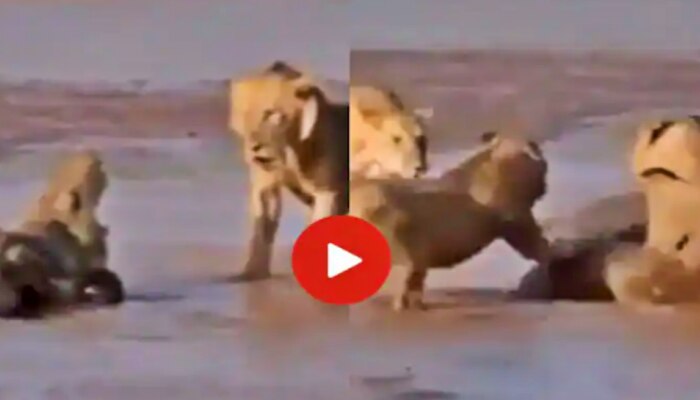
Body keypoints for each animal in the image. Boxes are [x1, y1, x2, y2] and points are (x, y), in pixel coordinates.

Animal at [228, 61, 350, 281]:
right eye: (243, 114)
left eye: (271, 113)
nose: (253, 148)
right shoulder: (265, 184)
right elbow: (262, 228)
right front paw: (253, 273)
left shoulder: (327, 191)